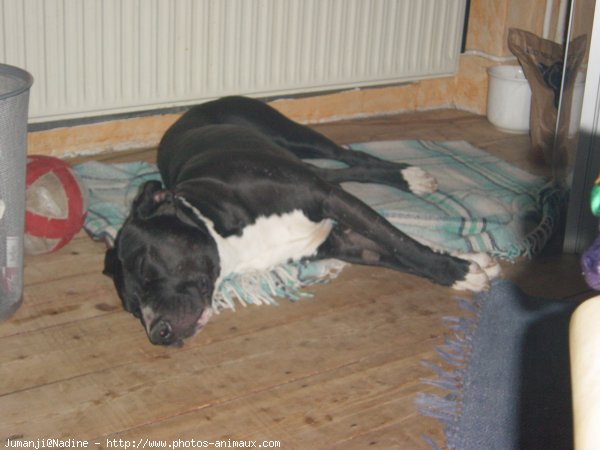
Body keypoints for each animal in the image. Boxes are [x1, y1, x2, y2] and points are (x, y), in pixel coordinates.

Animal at [104, 96, 502, 346]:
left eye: (147, 266)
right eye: (132, 308)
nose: (158, 333)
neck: (218, 230)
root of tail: (191, 111)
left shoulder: (329, 199)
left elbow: (403, 243)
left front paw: (458, 271)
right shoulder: (341, 240)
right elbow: (399, 251)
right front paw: (463, 264)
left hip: (294, 136)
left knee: (351, 156)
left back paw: (409, 176)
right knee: (343, 171)